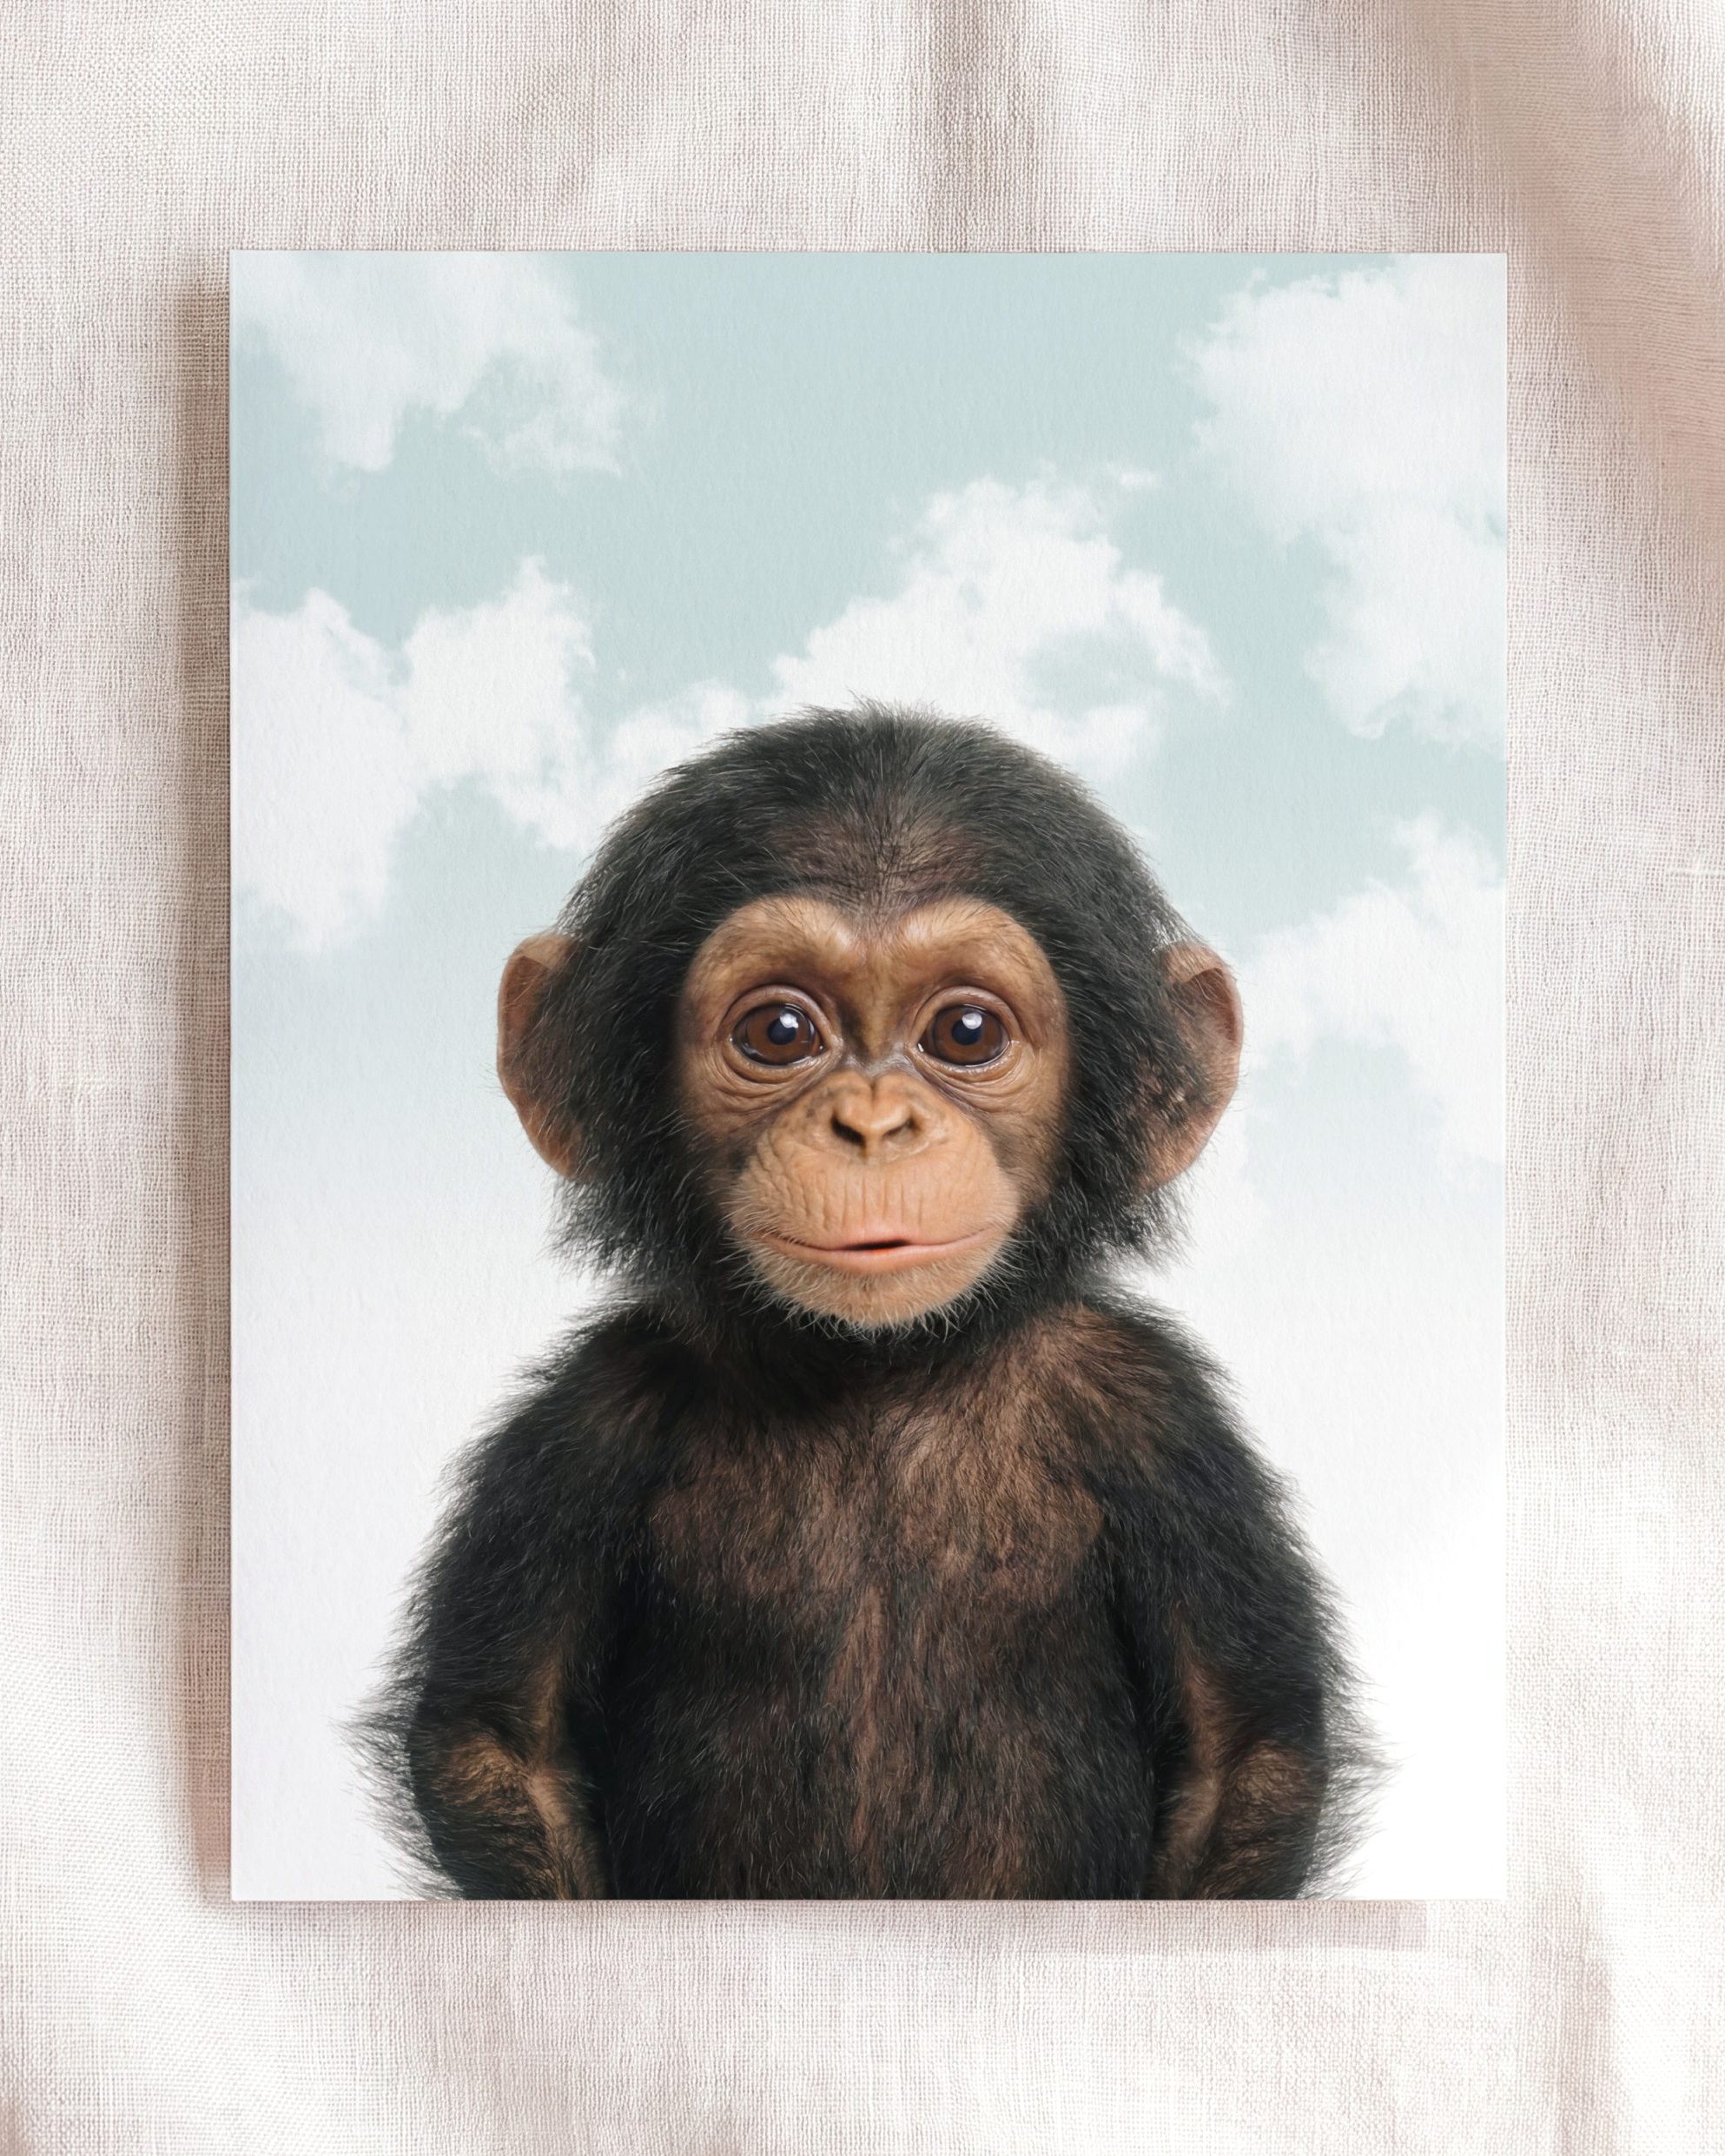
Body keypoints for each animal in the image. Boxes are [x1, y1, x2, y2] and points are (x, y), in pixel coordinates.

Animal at [362, 702, 1373, 1899]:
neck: (878, 1367)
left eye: (966, 1033)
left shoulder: (1160, 1421)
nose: (875, 1124)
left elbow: (1241, 1756)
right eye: (780, 1032)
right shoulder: (585, 1423)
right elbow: (499, 1743)